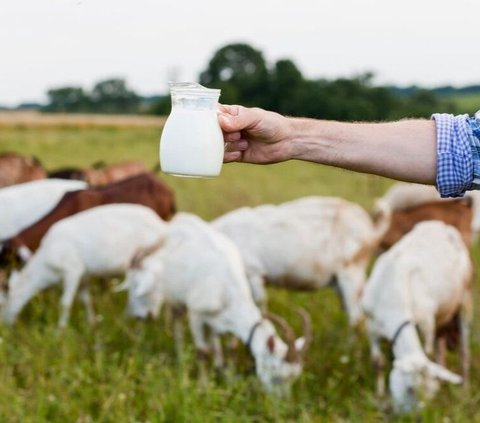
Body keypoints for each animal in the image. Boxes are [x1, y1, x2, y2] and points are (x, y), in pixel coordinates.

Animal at [2, 203, 166, 328]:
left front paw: (60, 330)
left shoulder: (72, 270)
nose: (5, 327)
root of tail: (161, 224)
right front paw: (92, 324)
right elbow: (86, 300)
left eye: (3, 303)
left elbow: (65, 303)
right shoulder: (83, 277)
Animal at [122, 214, 314, 396]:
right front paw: (203, 387)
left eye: (293, 378)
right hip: (174, 294)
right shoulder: (196, 314)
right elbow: (202, 352)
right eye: (274, 372)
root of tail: (177, 222)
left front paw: (229, 378)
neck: (226, 288)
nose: (281, 403)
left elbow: (231, 347)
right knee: (178, 322)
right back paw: (181, 357)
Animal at [212, 197, 388, 326]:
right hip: (339, 282)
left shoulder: (254, 274)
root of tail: (371, 229)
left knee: (357, 319)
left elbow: (260, 309)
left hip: (351, 273)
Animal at [362, 222, 470, 414]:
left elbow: (428, 352)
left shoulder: (426, 324)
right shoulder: (371, 326)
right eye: (409, 389)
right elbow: (377, 363)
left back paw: (465, 389)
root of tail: (440, 225)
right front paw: (379, 394)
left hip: (463, 298)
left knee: (463, 348)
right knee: (441, 344)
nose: (414, 417)